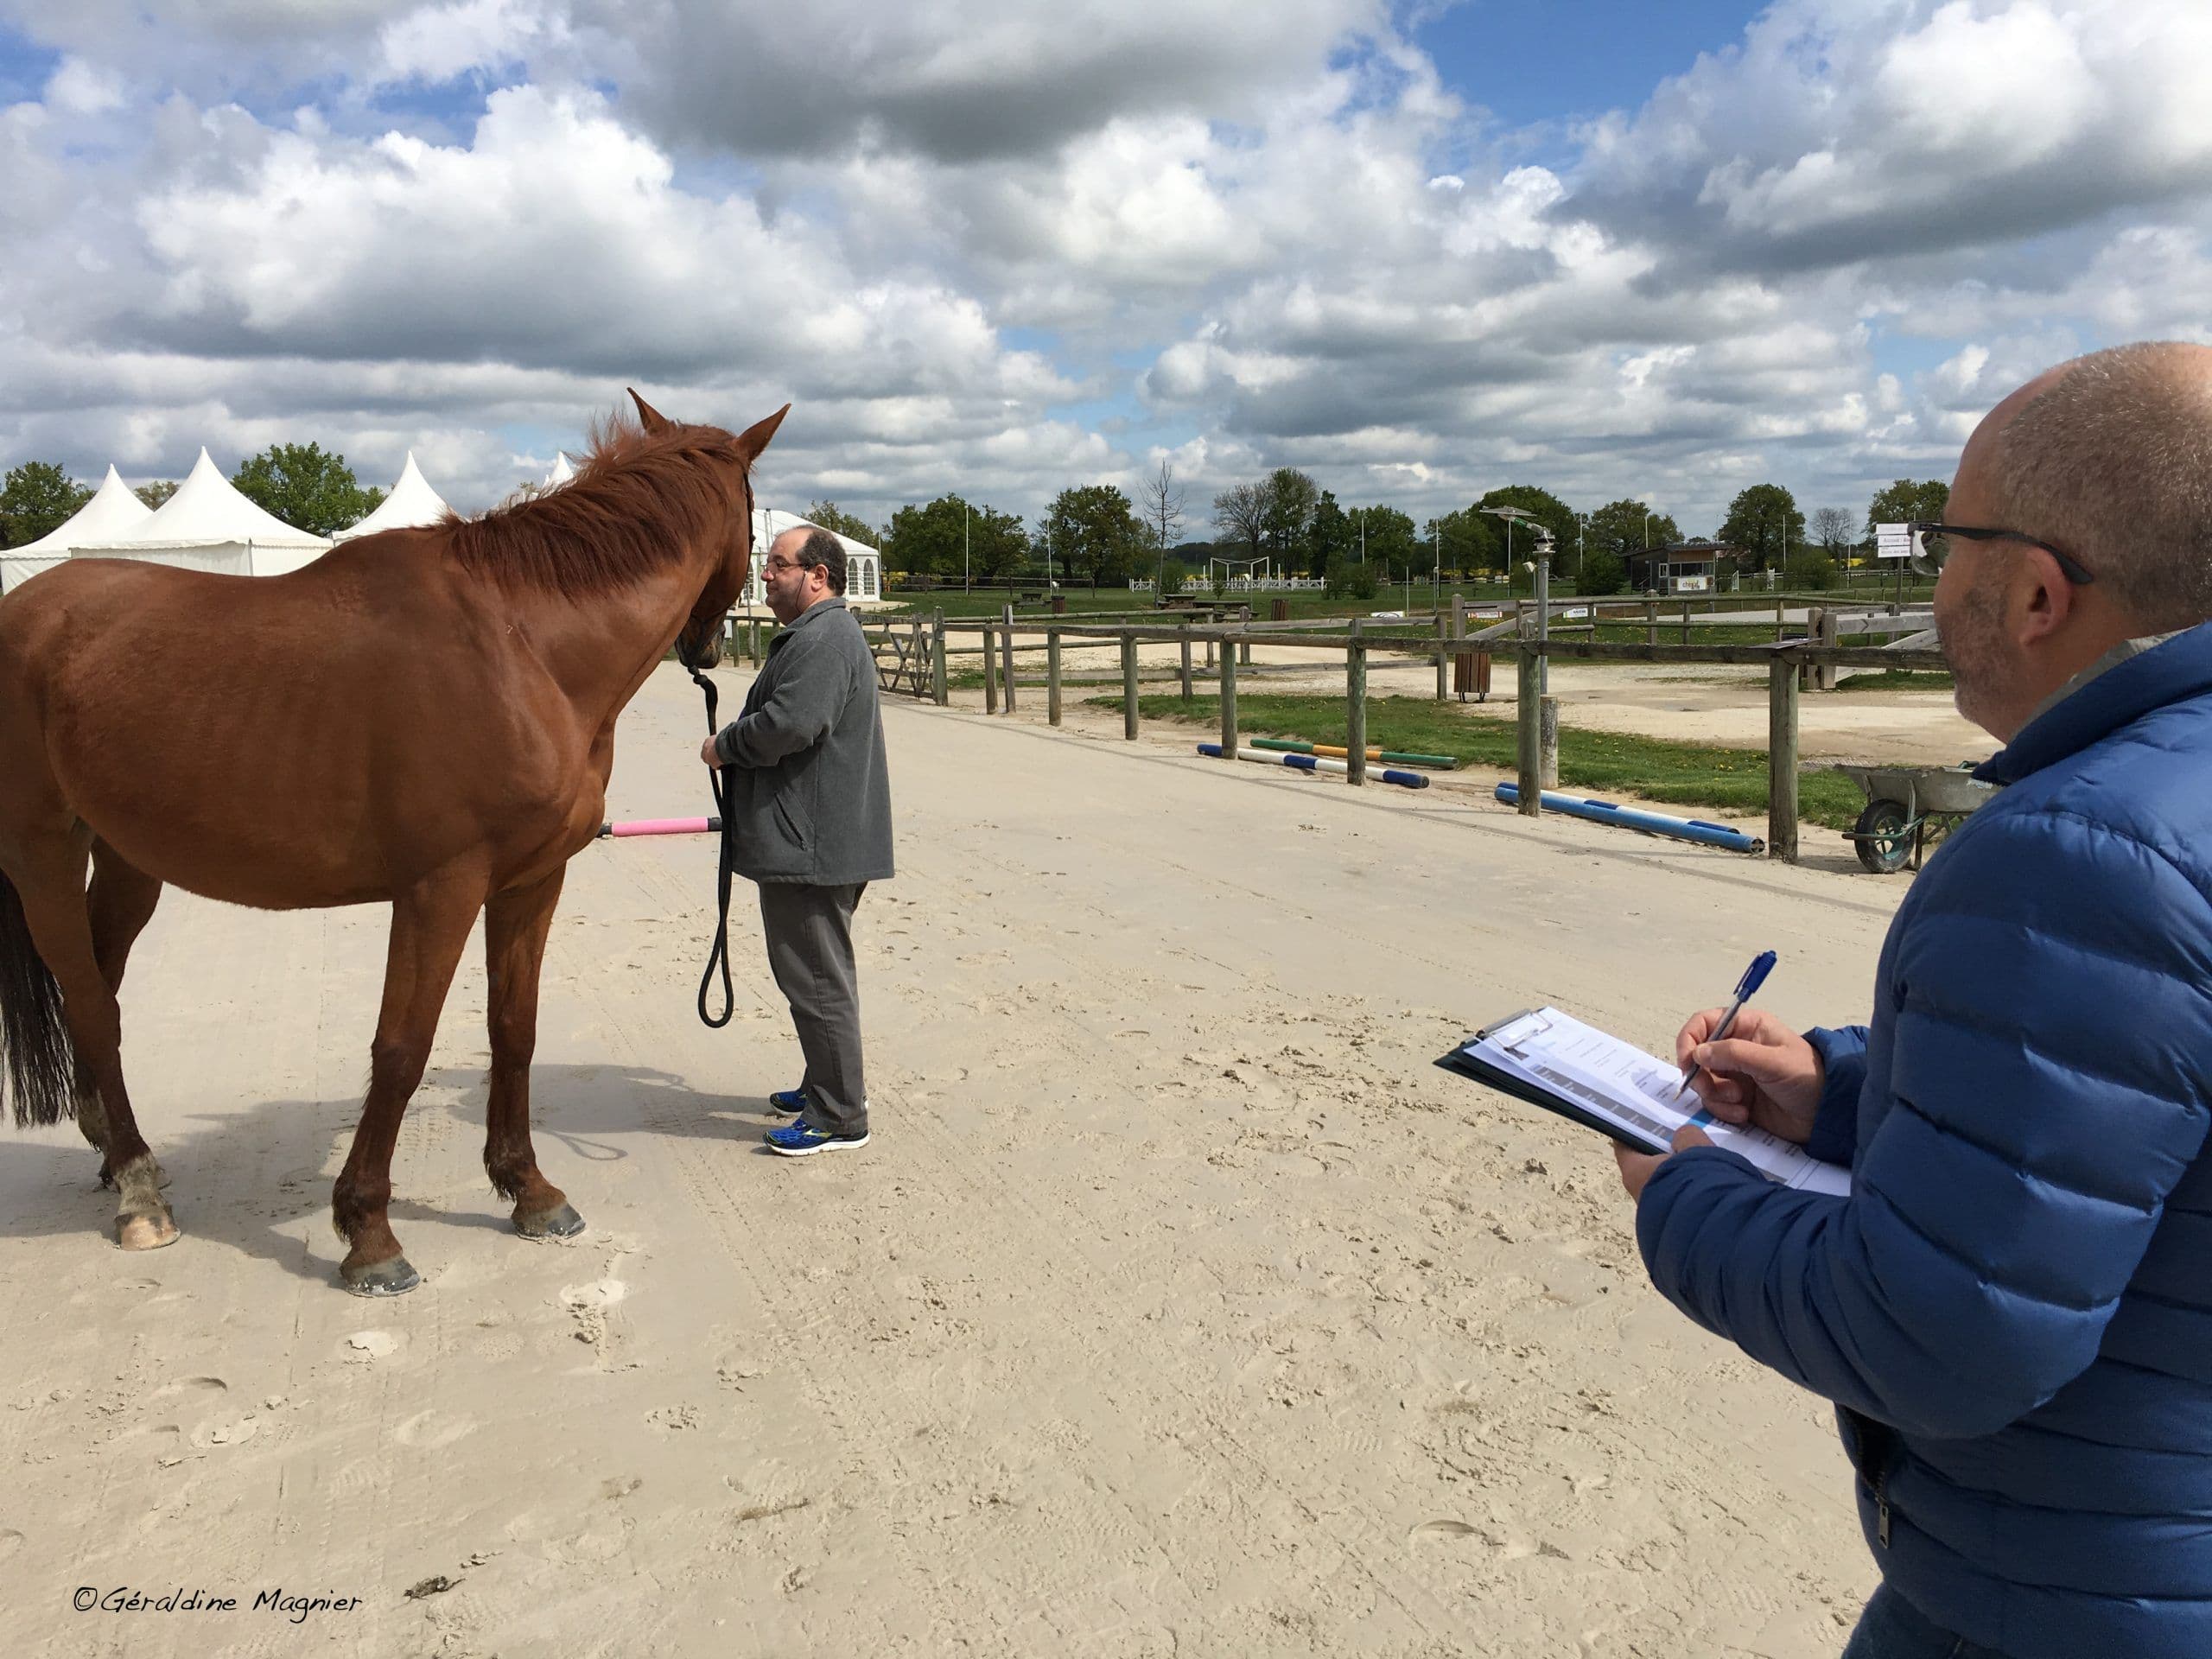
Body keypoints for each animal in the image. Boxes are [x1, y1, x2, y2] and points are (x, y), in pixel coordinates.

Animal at [0, 392, 784, 1294]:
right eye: (755, 524)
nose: (708, 644)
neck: (525, 647)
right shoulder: (440, 889)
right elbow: (402, 1049)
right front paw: (369, 1231)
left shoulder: (532, 882)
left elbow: (514, 1030)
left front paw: (530, 1190)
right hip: (42, 855)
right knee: (91, 1004)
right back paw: (138, 1192)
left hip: (128, 860)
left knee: (103, 986)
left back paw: (113, 1150)